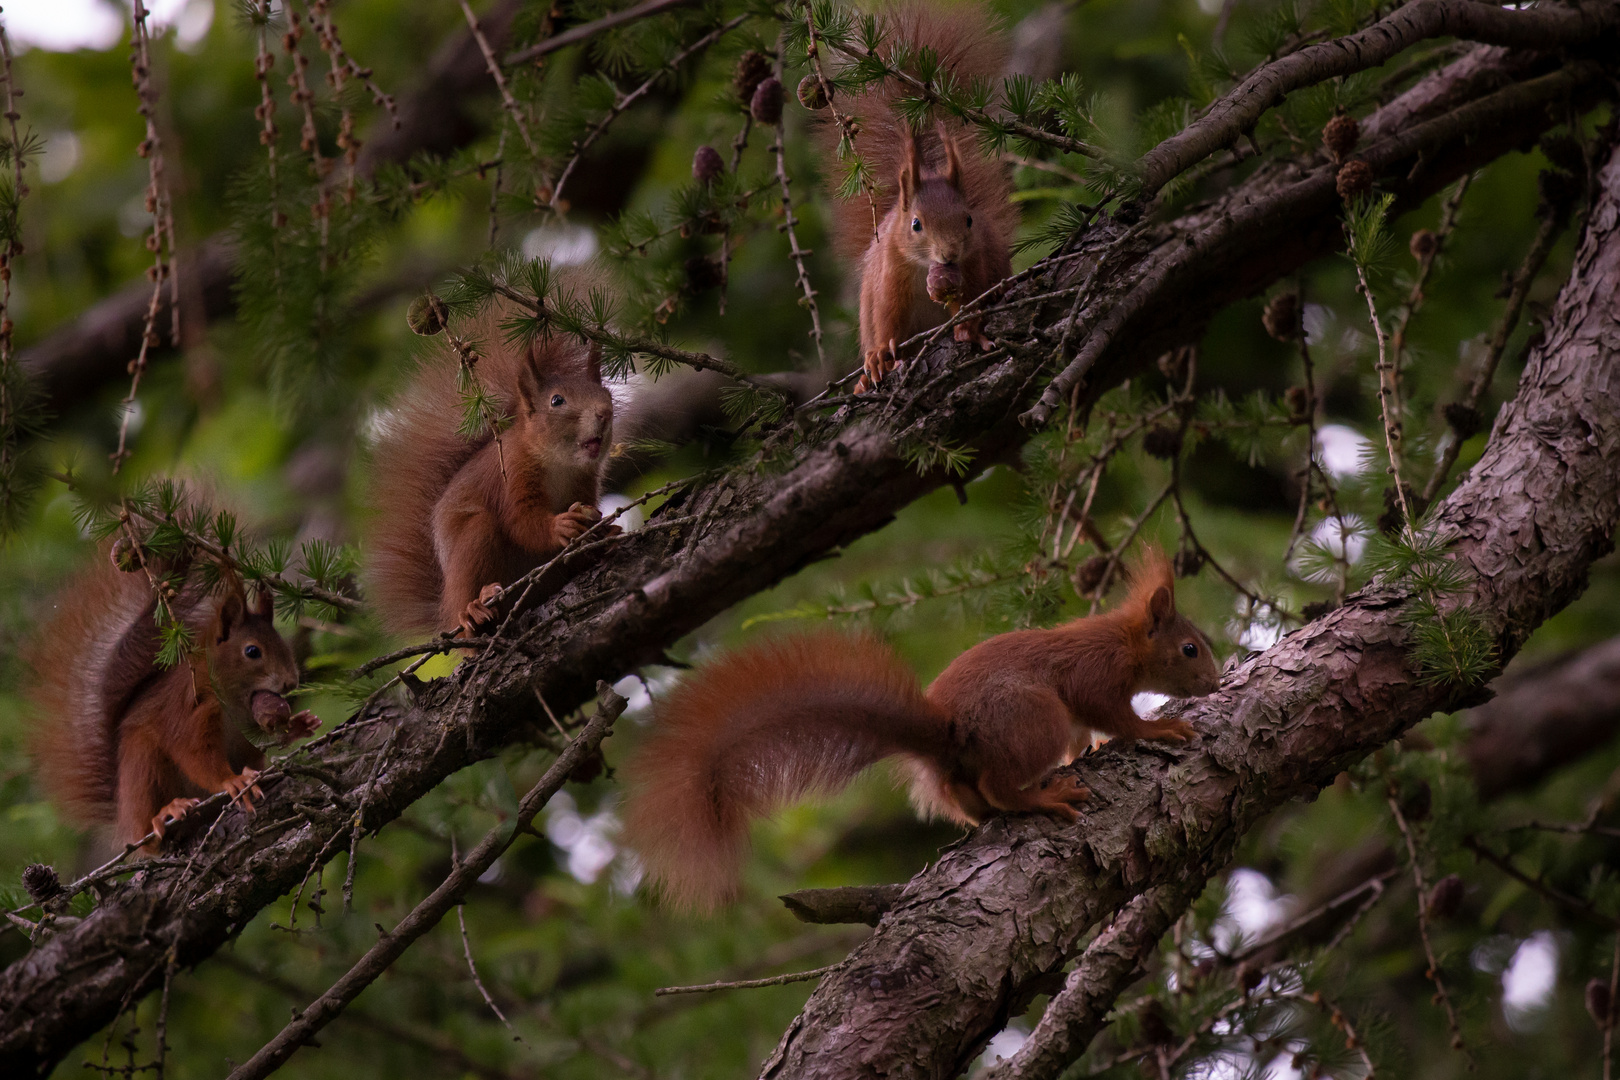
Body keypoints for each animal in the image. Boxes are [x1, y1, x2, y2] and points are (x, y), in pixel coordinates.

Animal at [367, 302, 612, 641]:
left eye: (607, 395)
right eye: (557, 400)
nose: (605, 413)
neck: (560, 464)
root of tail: (444, 612)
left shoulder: (586, 482)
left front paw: (599, 528)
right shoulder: (510, 476)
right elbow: (520, 522)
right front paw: (559, 526)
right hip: (473, 543)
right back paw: (472, 611)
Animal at [618, 550, 1218, 913]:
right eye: (1190, 649)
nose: (1213, 682)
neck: (1124, 641)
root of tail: (951, 735)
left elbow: (1086, 735)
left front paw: (1094, 746)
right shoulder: (1096, 676)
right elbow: (1117, 717)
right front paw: (1161, 728)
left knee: (969, 796)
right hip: (1034, 718)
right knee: (1000, 786)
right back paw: (1044, 798)